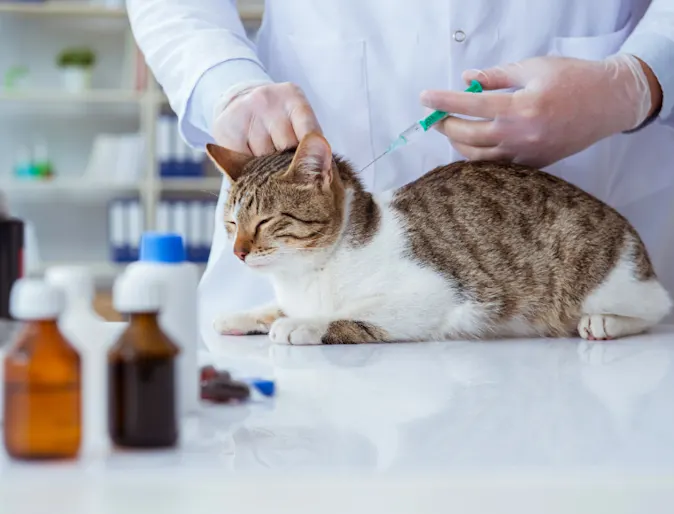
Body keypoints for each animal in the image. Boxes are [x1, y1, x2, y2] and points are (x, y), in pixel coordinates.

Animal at [206, 132, 672, 344]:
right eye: (231, 224)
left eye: (265, 222)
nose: (239, 252)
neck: (307, 275)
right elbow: (274, 307)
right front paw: (246, 315)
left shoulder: (438, 295)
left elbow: (349, 314)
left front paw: (301, 324)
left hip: (601, 279)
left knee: (658, 306)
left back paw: (605, 322)